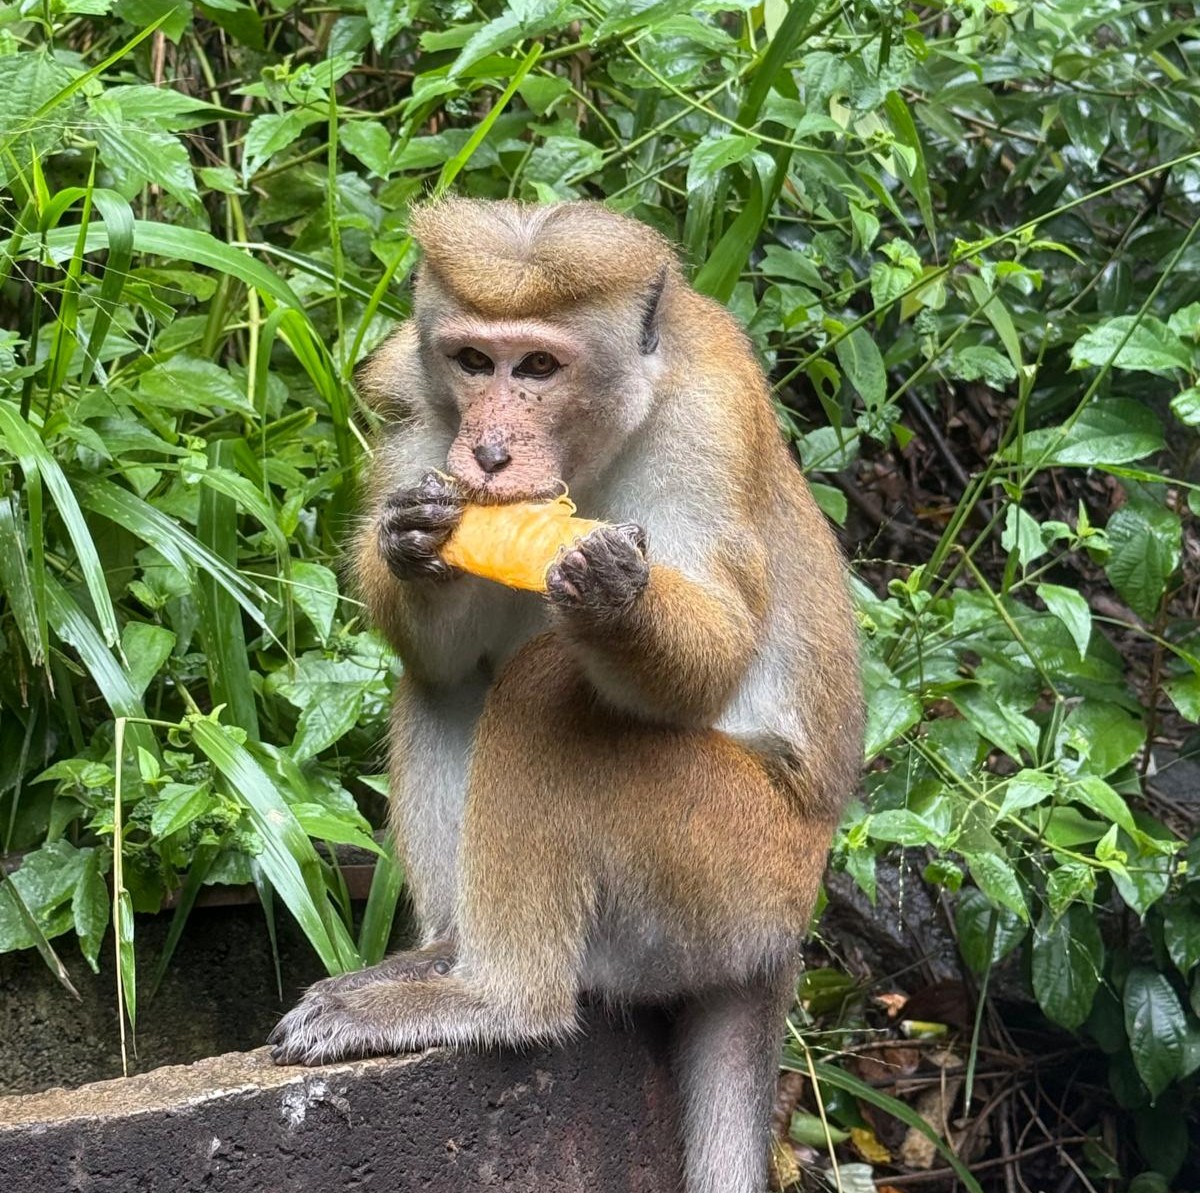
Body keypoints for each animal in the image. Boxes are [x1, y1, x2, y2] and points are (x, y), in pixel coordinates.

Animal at [270, 198, 863, 1193]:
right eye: (474, 360)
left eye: (540, 367)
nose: (490, 449)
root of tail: (786, 932)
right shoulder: (420, 410)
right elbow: (442, 642)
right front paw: (411, 539)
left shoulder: (707, 426)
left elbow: (719, 647)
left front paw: (617, 599)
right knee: (444, 681)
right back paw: (444, 955)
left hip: (730, 877)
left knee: (548, 685)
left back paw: (499, 999)